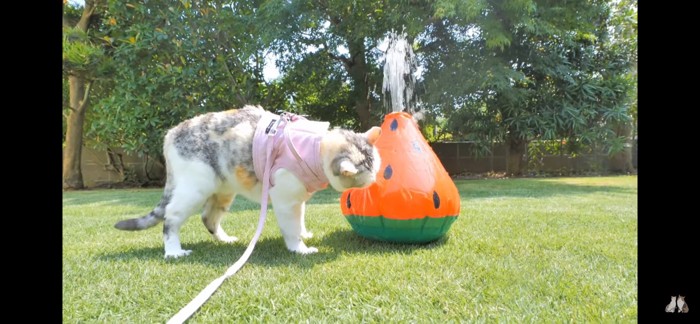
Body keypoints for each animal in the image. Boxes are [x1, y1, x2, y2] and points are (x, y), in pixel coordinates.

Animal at [113, 105, 382, 258]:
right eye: (367, 177)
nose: (376, 181)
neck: (316, 148)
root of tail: (170, 134)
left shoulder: (299, 200)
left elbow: (302, 220)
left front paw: (306, 233)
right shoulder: (285, 200)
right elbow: (292, 229)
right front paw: (301, 249)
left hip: (222, 191)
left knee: (208, 218)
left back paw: (226, 240)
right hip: (194, 189)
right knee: (170, 218)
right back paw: (174, 252)